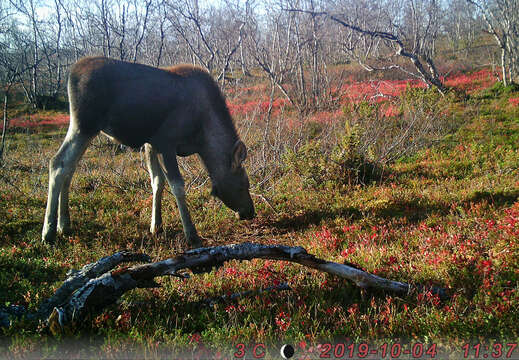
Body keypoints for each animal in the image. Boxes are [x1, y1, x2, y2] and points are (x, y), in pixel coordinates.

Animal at [42, 57, 256, 248]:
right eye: (244, 183)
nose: (250, 212)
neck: (202, 138)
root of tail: (71, 73)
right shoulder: (166, 143)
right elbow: (177, 186)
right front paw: (191, 233)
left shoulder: (151, 144)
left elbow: (157, 182)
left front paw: (156, 225)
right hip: (84, 125)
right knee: (58, 163)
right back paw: (48, 231)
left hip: (86, 129)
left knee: (70, 167)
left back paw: (64, 224)